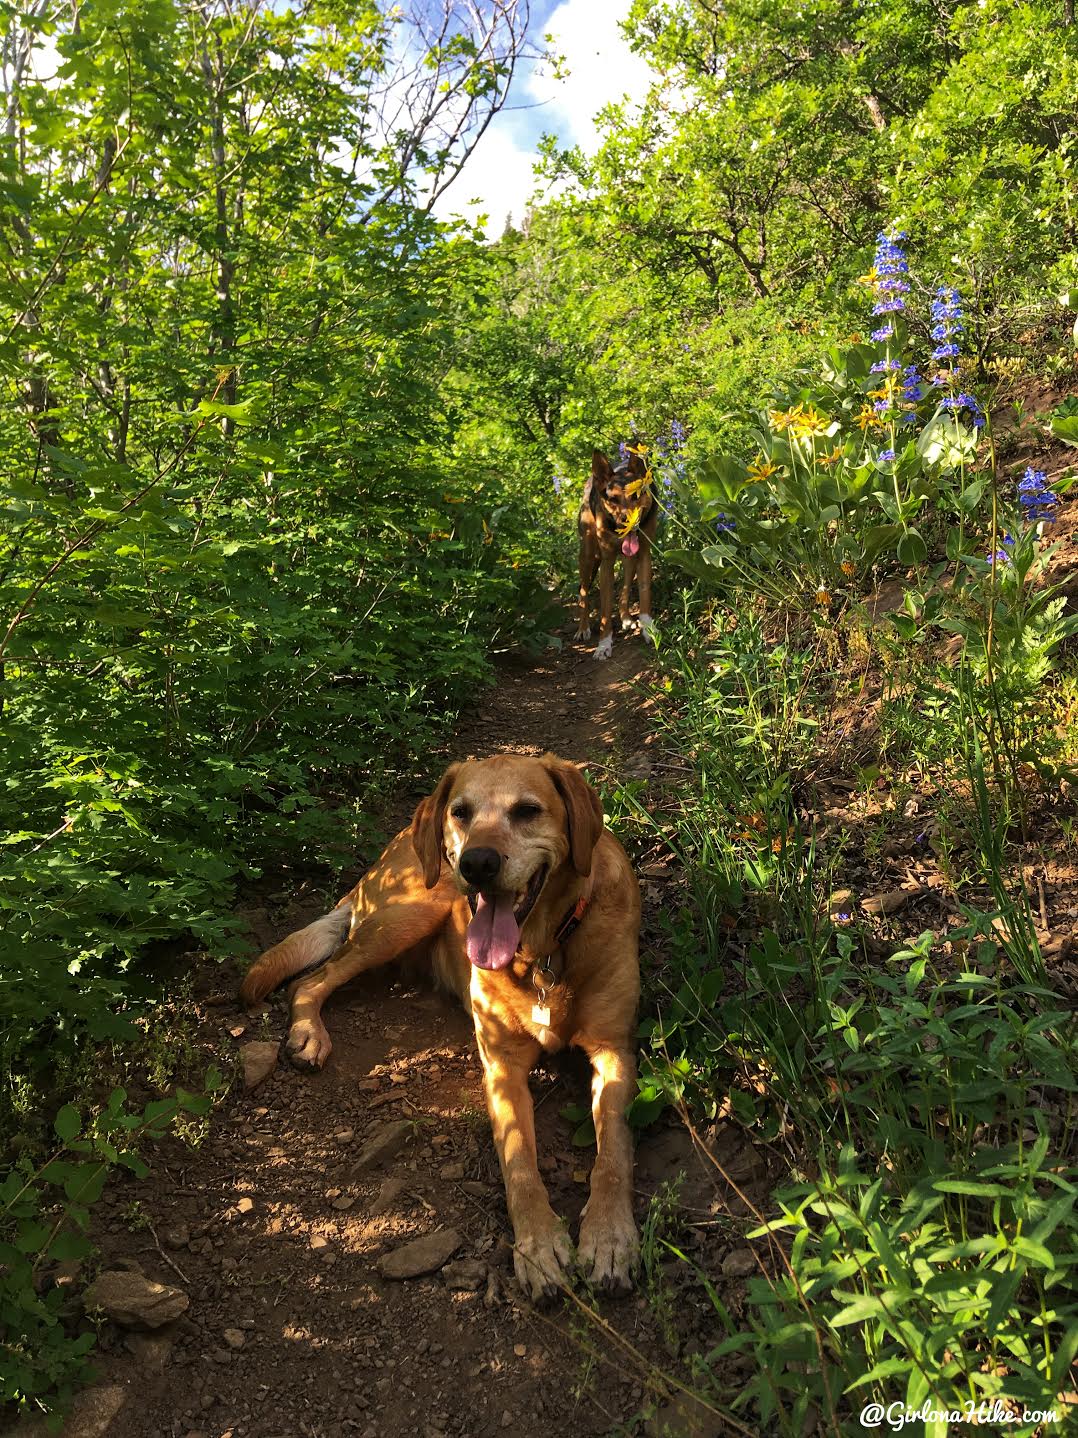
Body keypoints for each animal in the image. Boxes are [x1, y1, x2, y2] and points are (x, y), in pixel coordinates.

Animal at [242, 753, 641, 1305]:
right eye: (461, 812)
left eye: (527, 810)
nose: (477, 864)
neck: (544, 952)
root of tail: (390, 849)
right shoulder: (501, 1067)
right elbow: (519, 1160)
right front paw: (539, 1247)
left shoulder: (614, 1051)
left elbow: (615, 1151)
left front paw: (607, 1238)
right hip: (411, 911)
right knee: (310, 980)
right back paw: (308, 1033)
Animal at [583, 445, 658, 658]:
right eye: (612, 499)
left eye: (635, 496)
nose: (627, 521)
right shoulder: (606, 563)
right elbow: (605, 612)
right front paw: (603, 644)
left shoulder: (644, 554)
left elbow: (644, 594)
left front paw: (649, 630)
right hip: (587, 556)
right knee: (582, 592)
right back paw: (583, 628)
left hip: (629, 560)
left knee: (624, 588)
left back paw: (625, 617)